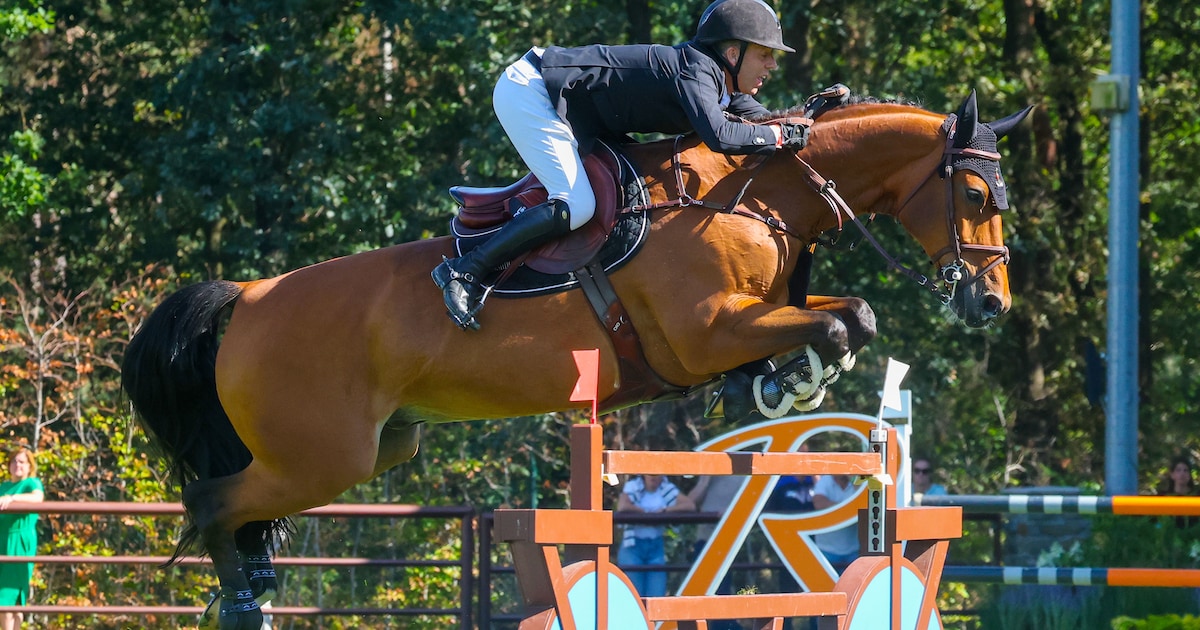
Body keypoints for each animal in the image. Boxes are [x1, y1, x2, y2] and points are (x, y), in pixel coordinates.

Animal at [120, 90, 1030, 629]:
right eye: (975, 195)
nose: (991, 305)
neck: (752, 196)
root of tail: (247, 296)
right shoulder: (707, 333)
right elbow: (844, 323)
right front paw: (794, 379)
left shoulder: (748, 323)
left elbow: (845, 317)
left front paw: (781, 381)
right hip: (320, 457)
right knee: (212, 502)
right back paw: (243, 604)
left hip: (376, 449)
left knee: (236, 511)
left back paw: (253, 594)